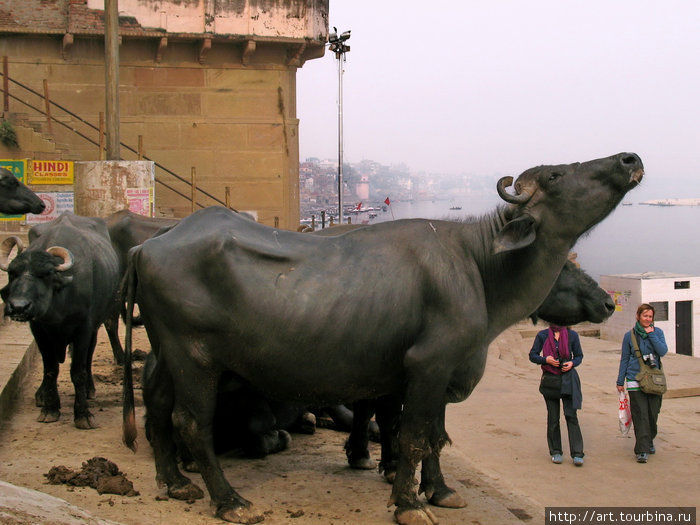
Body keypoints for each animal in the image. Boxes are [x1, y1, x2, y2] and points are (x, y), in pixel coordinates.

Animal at [0, 211, 119, 428]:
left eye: (46, 274)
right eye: (13, 273)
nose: (19, 307)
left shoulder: (84, 328)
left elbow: (78, 371)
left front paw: (83, 414)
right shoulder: (39, 329)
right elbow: (50, 369)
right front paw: (50, 408)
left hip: (96, 324)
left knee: (89, 355)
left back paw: (89, 389)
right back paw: (41, 394)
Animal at [123, 152, 644, 524]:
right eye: (557, 174)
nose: (629, 159)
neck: (478, 268)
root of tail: (147, 246)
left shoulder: (439, 373)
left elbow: (435, 437)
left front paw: (441, 491)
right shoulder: (427, 365)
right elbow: (412, 434)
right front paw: (409, 504)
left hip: (168, 353)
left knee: (158, 410)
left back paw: (174, 483)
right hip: (195, 357)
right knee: (192, 421)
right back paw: (230, 500)